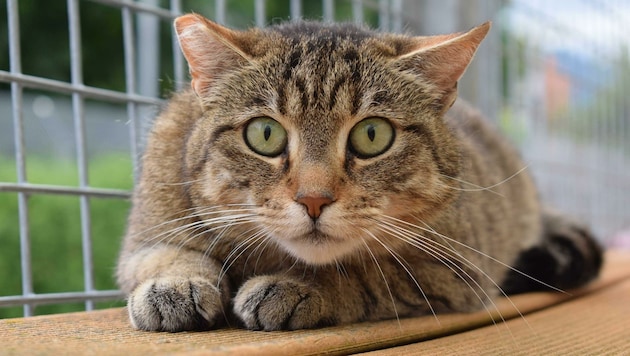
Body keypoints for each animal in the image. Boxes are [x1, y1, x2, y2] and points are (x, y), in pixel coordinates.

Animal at [116, 13, 604, 330]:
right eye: (265, 134)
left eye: (372, 135)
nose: (313, 199)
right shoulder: (147, 230)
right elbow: (162, 254)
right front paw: (173, 284)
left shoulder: (457, 271)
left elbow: (366, 276)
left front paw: (298, 287)